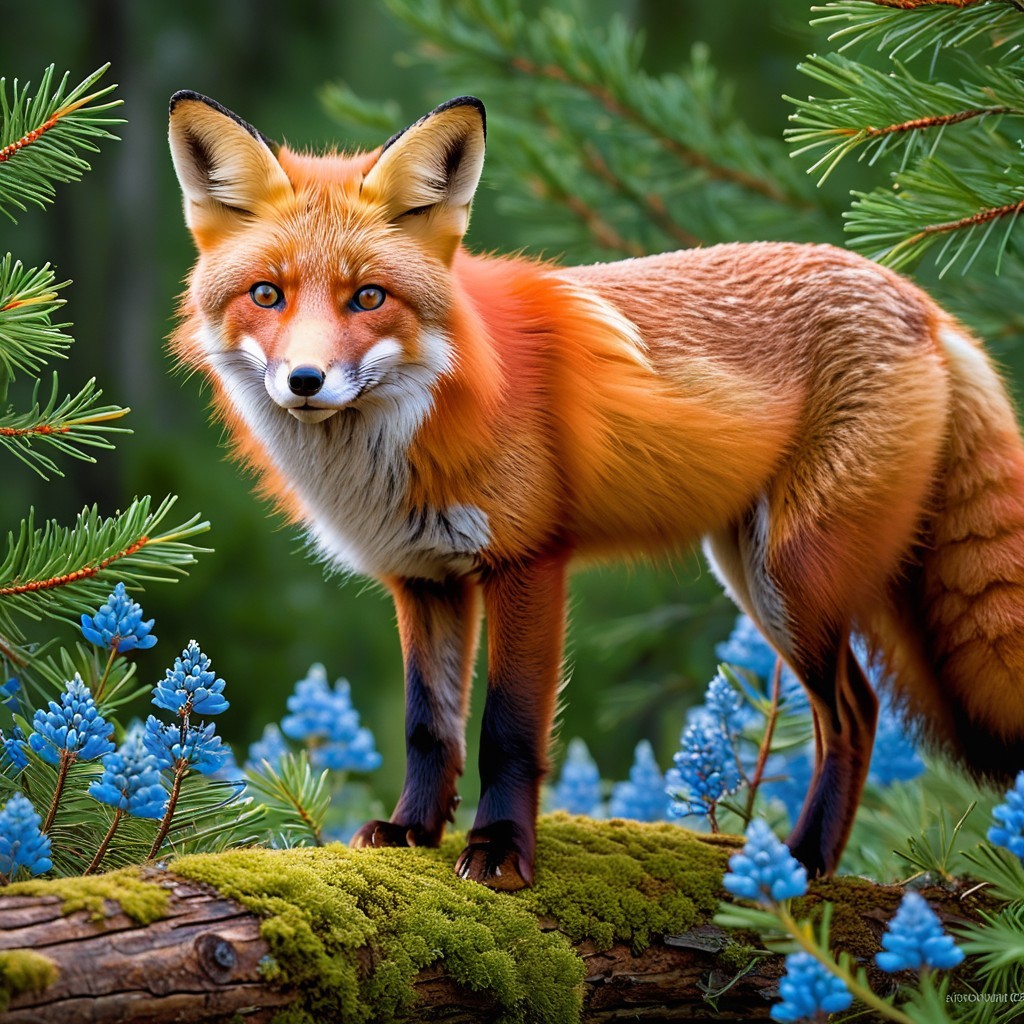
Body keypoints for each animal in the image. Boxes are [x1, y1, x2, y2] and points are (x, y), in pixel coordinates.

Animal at [168, 90, 1024, 890]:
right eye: (268, 295)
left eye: (369, 298)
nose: (304, 381)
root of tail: (917, 298)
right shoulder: (423, 578)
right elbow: (428, 726)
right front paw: (412, 831)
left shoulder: (526, 563)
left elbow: (507, 730)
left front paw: (500, 853)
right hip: (750, 572)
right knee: (857, 707)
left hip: (794, 578)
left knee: (853, 712)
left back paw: (802, 863)